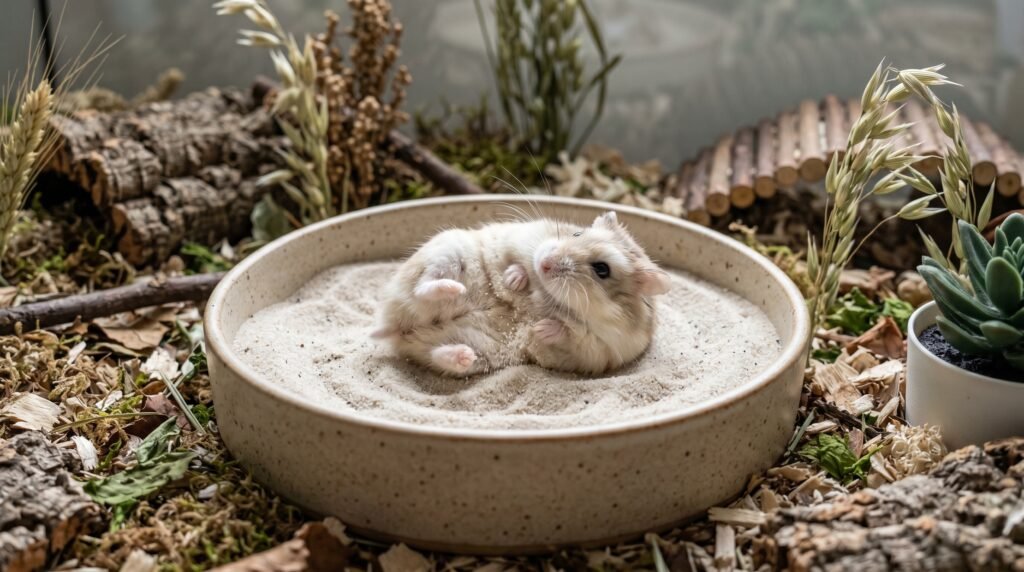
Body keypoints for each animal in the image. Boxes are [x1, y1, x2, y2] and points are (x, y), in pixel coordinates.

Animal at [372, 211, 671, 376]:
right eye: (576, 233)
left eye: (602, 269)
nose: (545, 263)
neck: (550, 296)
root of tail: (396, 326)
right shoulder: (522, 238)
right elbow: (516, 261)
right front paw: (514, 280)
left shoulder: (601, 350)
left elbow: (573, 335)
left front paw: (541, 329)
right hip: (447, 251)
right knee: (423, 287)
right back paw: (454, 288)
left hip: (477, 347)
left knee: (441, 354)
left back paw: (462, 355)